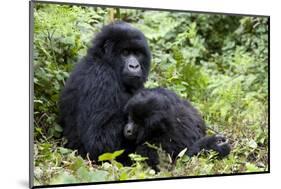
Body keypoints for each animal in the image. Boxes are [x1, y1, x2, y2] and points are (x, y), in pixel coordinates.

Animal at [59, 21, 151, 164]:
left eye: (137, 53)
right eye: (125, 53)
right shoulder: (100, 77)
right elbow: (100, 142)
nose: (134, 66)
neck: (104, 60)